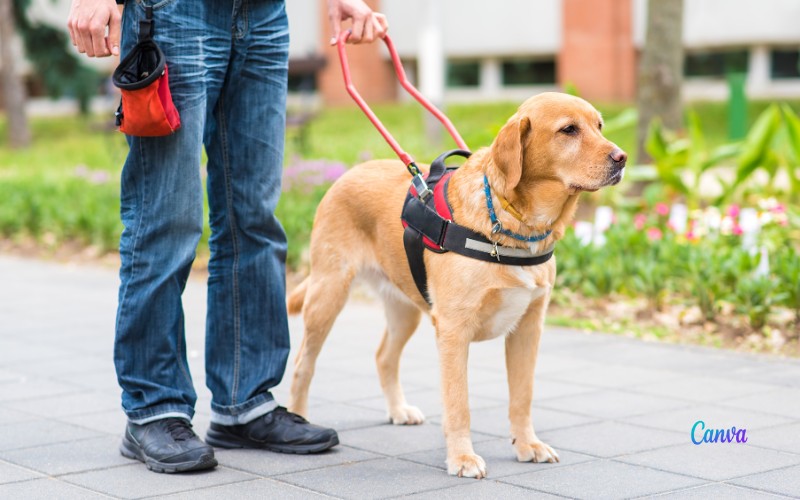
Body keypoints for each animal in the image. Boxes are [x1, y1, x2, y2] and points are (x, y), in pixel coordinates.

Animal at [286, 92, 624, 478]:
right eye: (569, 130)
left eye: (599, 126)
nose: (622, 158)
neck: (515, 224)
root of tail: (349, 172)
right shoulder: (453, 331)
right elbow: (458, 403)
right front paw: (462, 457)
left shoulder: (528, 328)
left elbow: (522, 397)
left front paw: (527, 445)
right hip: (328, 295)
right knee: (303, 364)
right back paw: (299, 420)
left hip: (405, 309)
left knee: (384, 356)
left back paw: (398, 410)